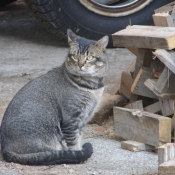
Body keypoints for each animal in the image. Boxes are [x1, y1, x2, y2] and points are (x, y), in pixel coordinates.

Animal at [0, 29, 108, 165]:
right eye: (75, 56)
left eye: (90, 57)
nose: (80, 64)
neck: (91, 88)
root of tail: (5, 149)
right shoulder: (71, 119)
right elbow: (74, 143)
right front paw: (78, 154)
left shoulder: (84, 118)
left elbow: (79, 137)